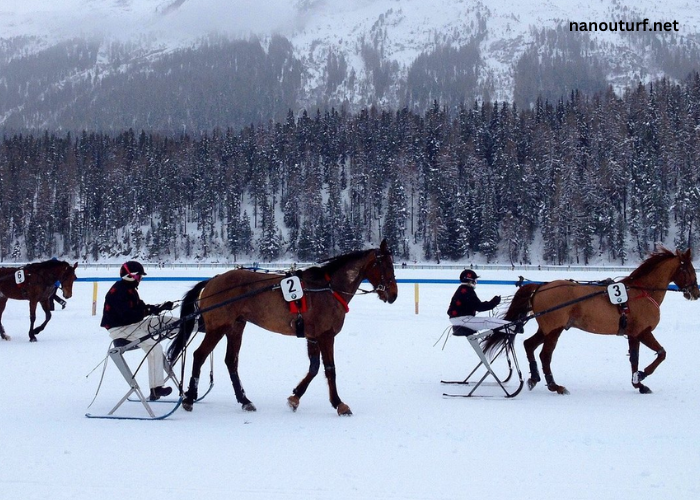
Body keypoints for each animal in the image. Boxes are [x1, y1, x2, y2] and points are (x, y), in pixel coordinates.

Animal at [167, 240, 400, 416]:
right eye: (387, 265)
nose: (393, 294)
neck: (327, 288)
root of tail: (213, 280)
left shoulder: (312, 336)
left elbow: (314, 368)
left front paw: (295, 397)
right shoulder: (326, 335)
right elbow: (329, 369)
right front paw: (339, 404)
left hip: (235, 327)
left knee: (231, 361)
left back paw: (244, 400)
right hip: (218, 328)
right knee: (199, 355)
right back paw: (189, 398)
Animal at [484, 246, 696, 394]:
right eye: (689, 269)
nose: (696, 292)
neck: (642, 291)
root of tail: (541, 287)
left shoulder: (632, 334)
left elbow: (634, 360)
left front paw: (638, 382)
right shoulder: (643, 331)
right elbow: (661, 354)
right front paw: (643, 375)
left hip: (547, 328)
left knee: (529, 345)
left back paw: (535, 377)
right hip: (554, 329)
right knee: (545, 355)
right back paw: (554, 385)